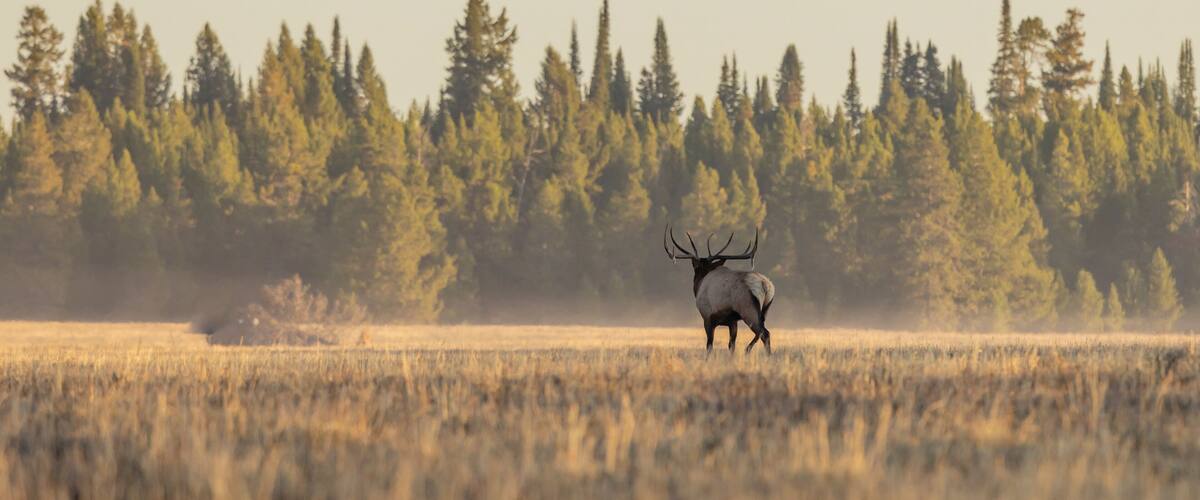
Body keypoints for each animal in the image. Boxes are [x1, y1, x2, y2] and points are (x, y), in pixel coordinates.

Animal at [664, 224, 776, 355]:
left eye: (697, 269)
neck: (699, 285)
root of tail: (765, 284)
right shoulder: (732, 321)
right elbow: (731, 345)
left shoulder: (707, 316)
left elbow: (709, 345)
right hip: (764, 309)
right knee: (763, 332)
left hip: (748, 309)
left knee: (764, 333)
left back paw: (749, 351)